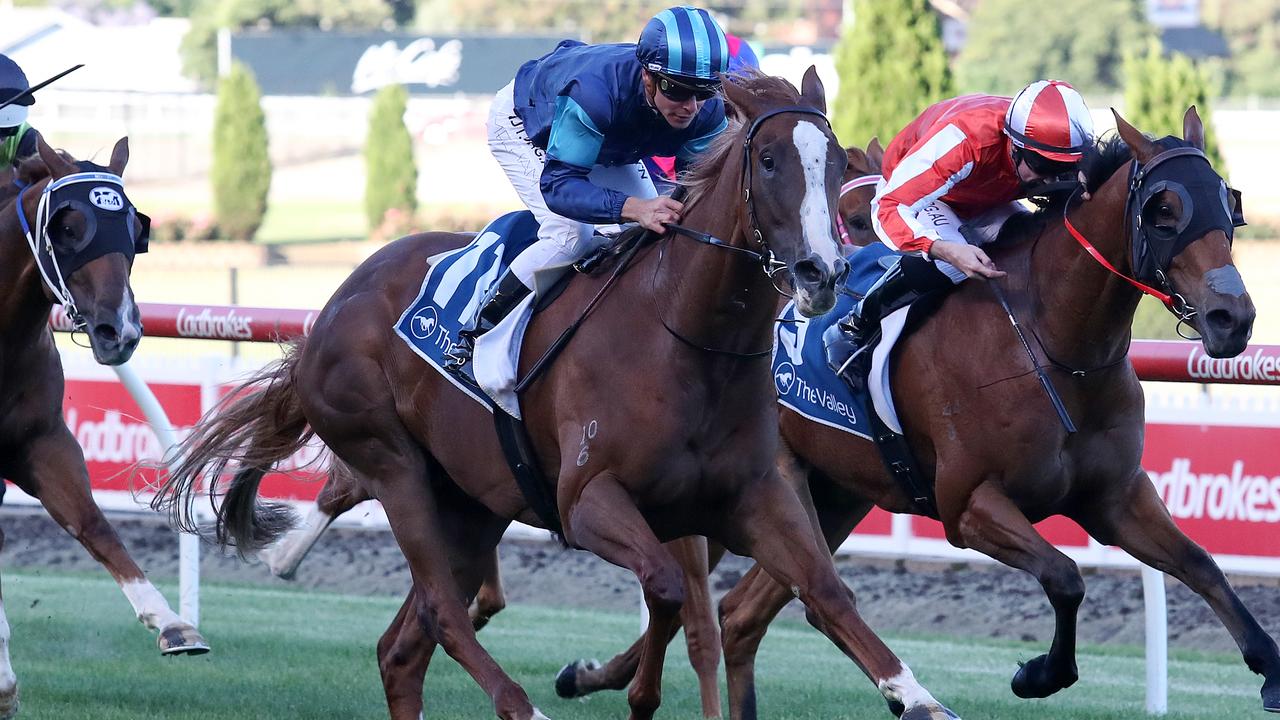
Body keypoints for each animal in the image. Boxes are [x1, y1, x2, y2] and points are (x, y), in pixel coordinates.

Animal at [0, 137, 207, 712]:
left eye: (135, 229)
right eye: (69, 227)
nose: (122, 331)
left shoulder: (41, 442)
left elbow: (93, 524)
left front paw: (173, 623)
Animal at [157, 71, 962, 717]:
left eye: (835, 171)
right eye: (768, 161)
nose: (823, 271)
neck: (684, 340)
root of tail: (334, 306)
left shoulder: (753, 496)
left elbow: (823, 593)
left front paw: (918, 697)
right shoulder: (588, 500)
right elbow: (667, 588)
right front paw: (629, 692)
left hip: (472, 500)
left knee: (402, 649)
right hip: (395, 464)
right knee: (444, 614)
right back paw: (522, 707)